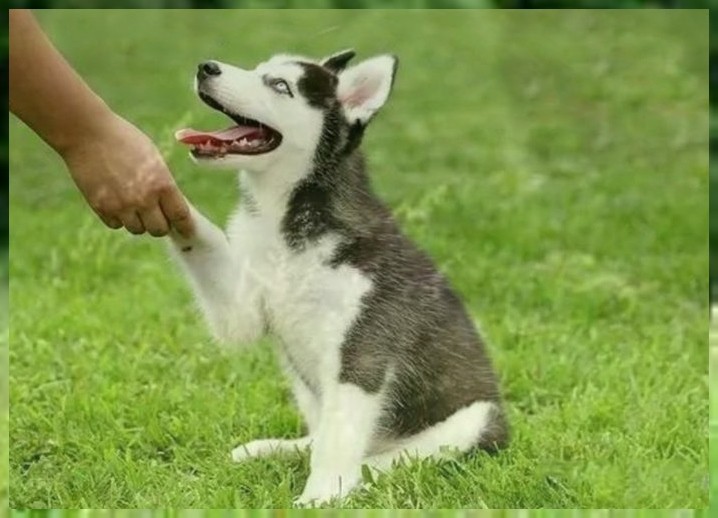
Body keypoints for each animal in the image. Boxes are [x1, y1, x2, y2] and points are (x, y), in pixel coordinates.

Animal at [169, 49, 510, 508]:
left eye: (280, 85)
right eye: (259, 70)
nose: (206, 67)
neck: (285, 225)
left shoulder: (363, 350)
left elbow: (339, 439)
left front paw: (321, 496)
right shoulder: (243, 312)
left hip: (475, 420)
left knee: (385, 456)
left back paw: (360, 474)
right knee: (321, 437)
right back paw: (278, 449)